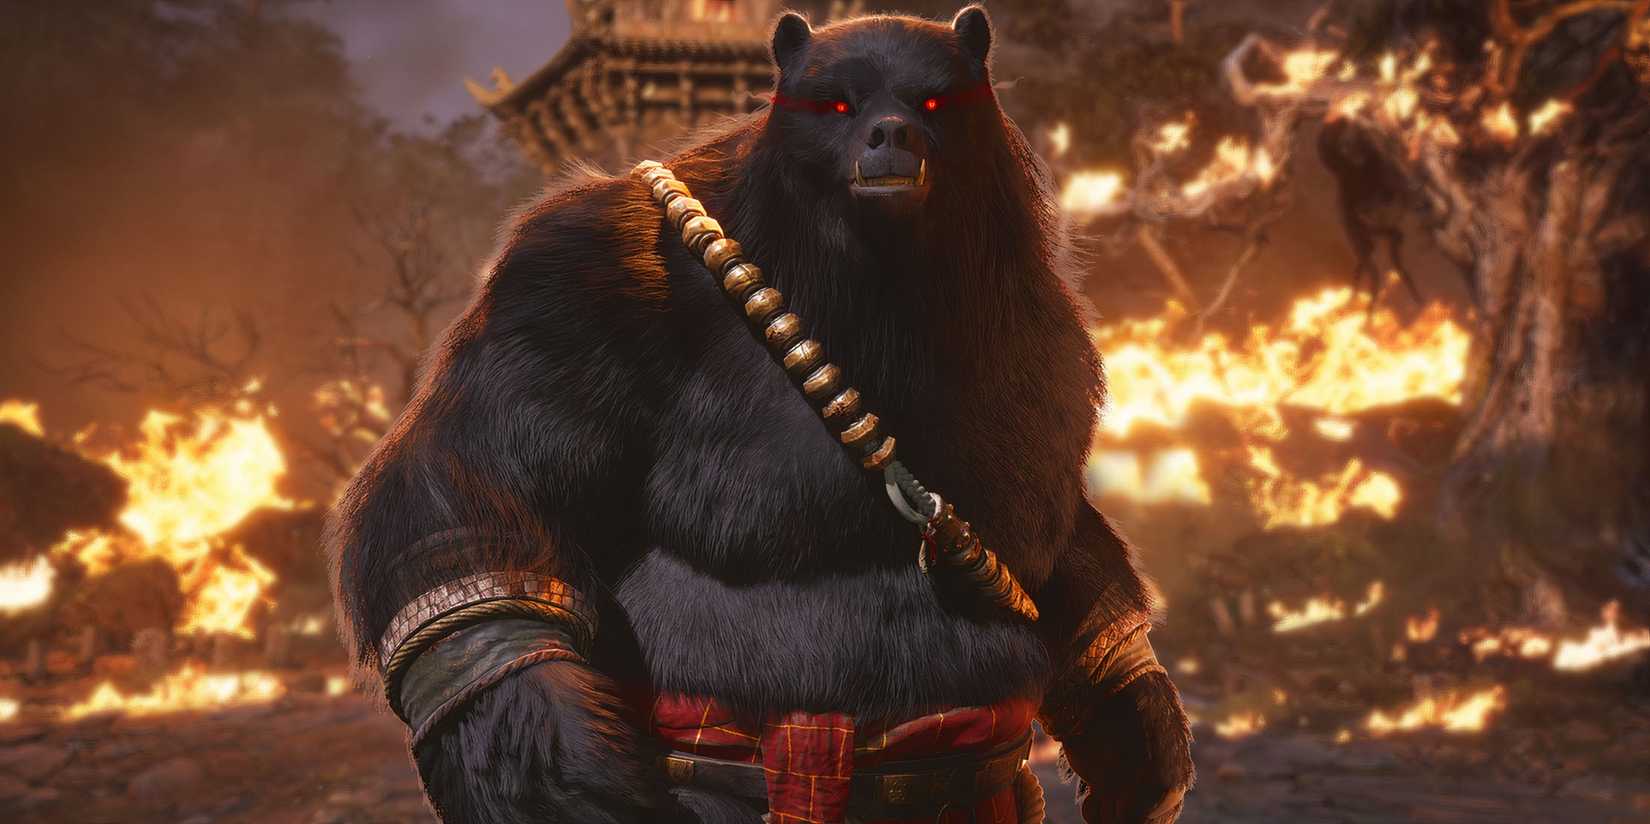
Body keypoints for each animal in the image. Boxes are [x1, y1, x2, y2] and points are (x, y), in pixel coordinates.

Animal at [327, 6, 1193, 824]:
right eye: (838, 102)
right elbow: (476, 485)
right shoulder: (564, 279)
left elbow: (1064, 543)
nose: (892, 134)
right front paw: (558, 772)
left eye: (932, 100)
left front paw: (1139, 735)